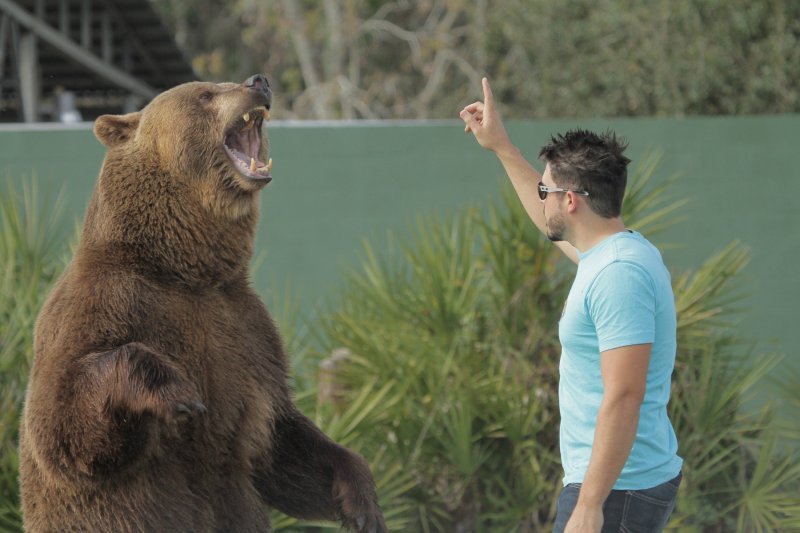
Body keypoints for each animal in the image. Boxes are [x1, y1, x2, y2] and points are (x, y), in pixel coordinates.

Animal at [21, 75, 388, 532]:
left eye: (228, 83)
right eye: (206, 93)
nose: (259, 82)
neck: (185, 270)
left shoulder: (248, 331)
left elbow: (279, 443)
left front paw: (362, 502)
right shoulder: (103, 304)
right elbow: (62, 428)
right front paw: (178, 393)